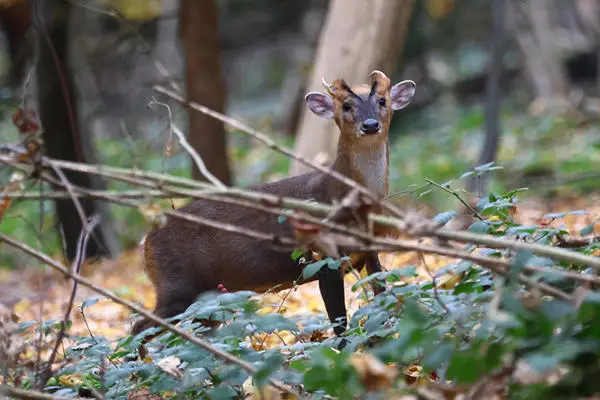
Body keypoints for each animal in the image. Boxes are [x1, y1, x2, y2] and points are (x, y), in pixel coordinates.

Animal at [132, 71, 414, 338]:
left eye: (382, 101)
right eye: (346, 106)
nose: (370, 124)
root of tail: (146, 241)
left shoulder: (370, 252)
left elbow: (381, 299)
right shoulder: (324, 261)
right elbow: (340, 324)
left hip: (208, 297)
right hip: (176, 287)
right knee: (139, 328)